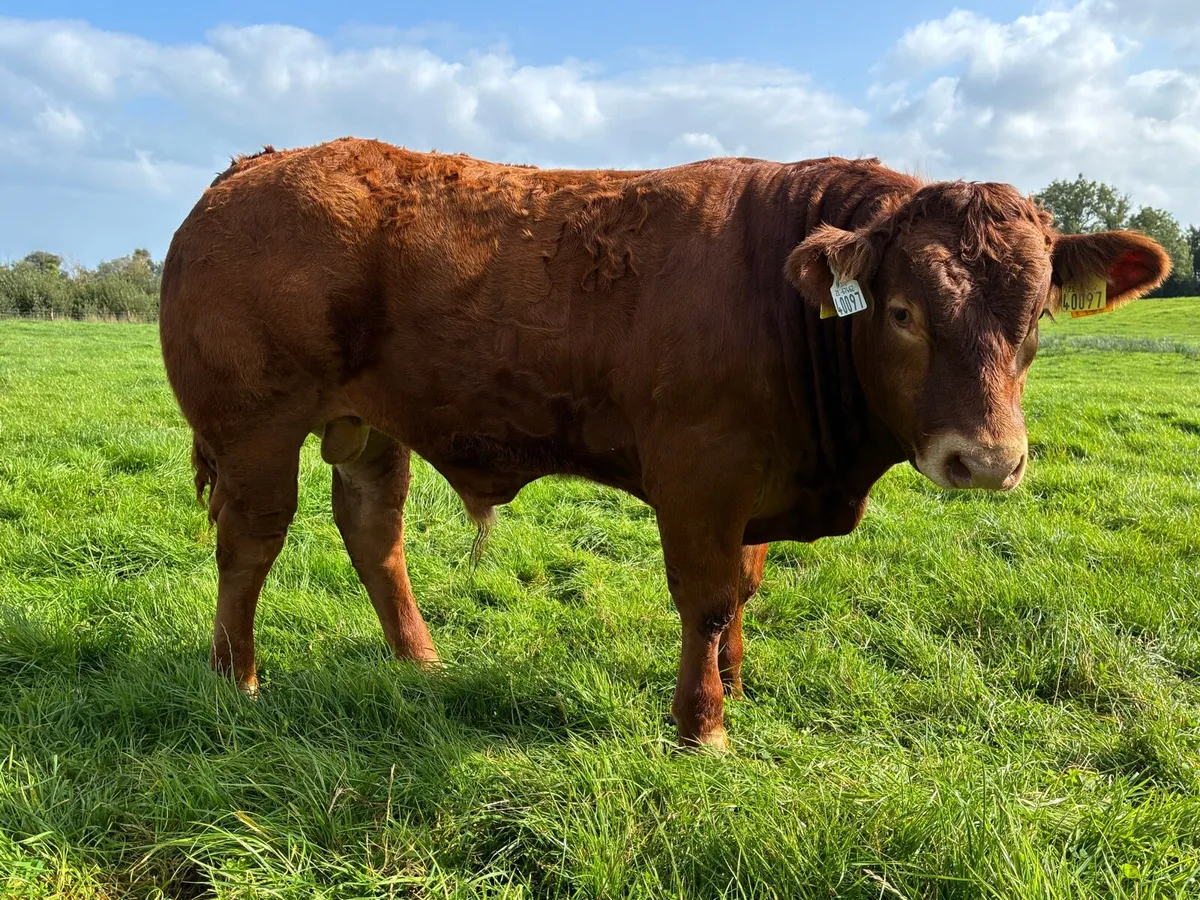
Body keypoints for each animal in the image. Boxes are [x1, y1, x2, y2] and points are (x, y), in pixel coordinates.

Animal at [158, 137, 1170, 749]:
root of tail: (250, 169)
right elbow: (709, 598)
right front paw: (703, 726)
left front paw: (738, 685)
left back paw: (420, 662)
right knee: (250, 544)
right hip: (255, 428)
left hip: (367, 429)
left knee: (375, 534)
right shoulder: (699, 476)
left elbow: (746, 590)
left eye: (1037, 316)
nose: (987, 460)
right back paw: (238, 680)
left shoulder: (758, 483)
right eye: (903, 313)